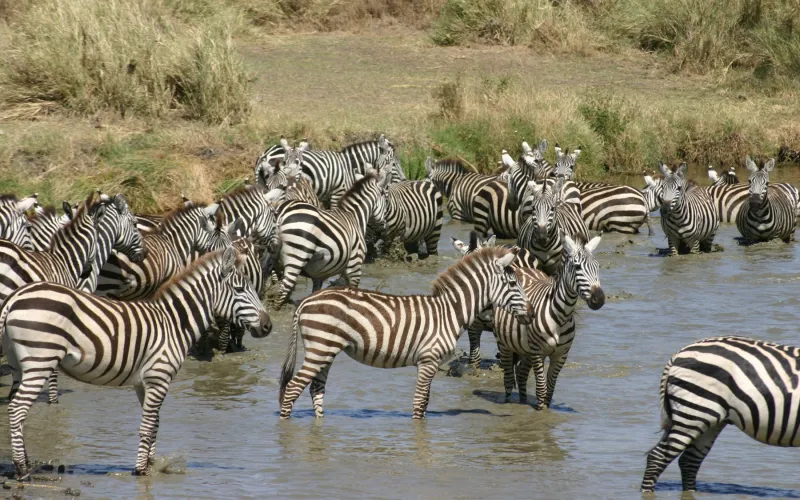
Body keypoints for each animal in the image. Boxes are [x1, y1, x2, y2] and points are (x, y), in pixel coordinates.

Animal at [0, 247, 272, 478]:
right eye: (239, 289)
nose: (268, 326)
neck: (174, 323)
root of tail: (15, 297)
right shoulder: (159, 377)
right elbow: (147, 425)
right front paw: (140, 470)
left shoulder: (144, 382)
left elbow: (155, 424)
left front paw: (151, 463)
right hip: (40, 360)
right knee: (17, 409)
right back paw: (22, 469)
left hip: (17, 364)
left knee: (13, 407)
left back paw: (27, 463)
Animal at [271, 168, 389, 308]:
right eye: (385, 196)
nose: (384, 225)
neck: (354, 216)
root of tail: (281, 213)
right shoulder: (355, 266)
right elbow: (352, 291)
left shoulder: (319, 273)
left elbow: (317, 291)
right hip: (297, 255)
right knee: (283, 290)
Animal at [278, 246, 532, 420]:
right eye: (513, 284)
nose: (530, 316)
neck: (449, 311)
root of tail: (306, 300)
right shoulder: (428, 360)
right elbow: (419, 403)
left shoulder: (429, 362)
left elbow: (425, 402)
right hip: (320, 348)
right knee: (292, 389)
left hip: (326, 350)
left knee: (315, 389)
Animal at [493, 234, 604, 407]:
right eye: (577, 267)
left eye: (597, 267)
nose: (599, 299)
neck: (561, 316)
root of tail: (522, 269)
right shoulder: (538, 351)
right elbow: (541, 388)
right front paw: (540, 410)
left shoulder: (561, 354)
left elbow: (550, 389)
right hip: (504, 343)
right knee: (509, 378)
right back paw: (508, 401)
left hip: (525, 348)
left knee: (521, 374)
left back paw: (523, 401)